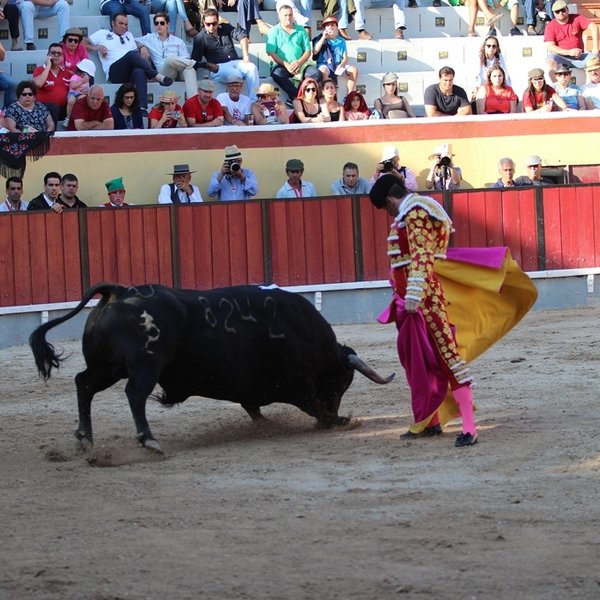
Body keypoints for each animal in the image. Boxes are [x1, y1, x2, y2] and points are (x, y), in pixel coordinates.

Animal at [29, 284, 394, 452]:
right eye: (342, 382)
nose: (337, 407)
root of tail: (119, 292)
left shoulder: (257, 391)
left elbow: (255, 409)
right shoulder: (298, 382)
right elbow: (313, 404)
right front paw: (339, 420)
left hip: (107, 366)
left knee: (83, 384)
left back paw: (85, 439)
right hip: (145, 365)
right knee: (134, 394)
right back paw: (149, 440)